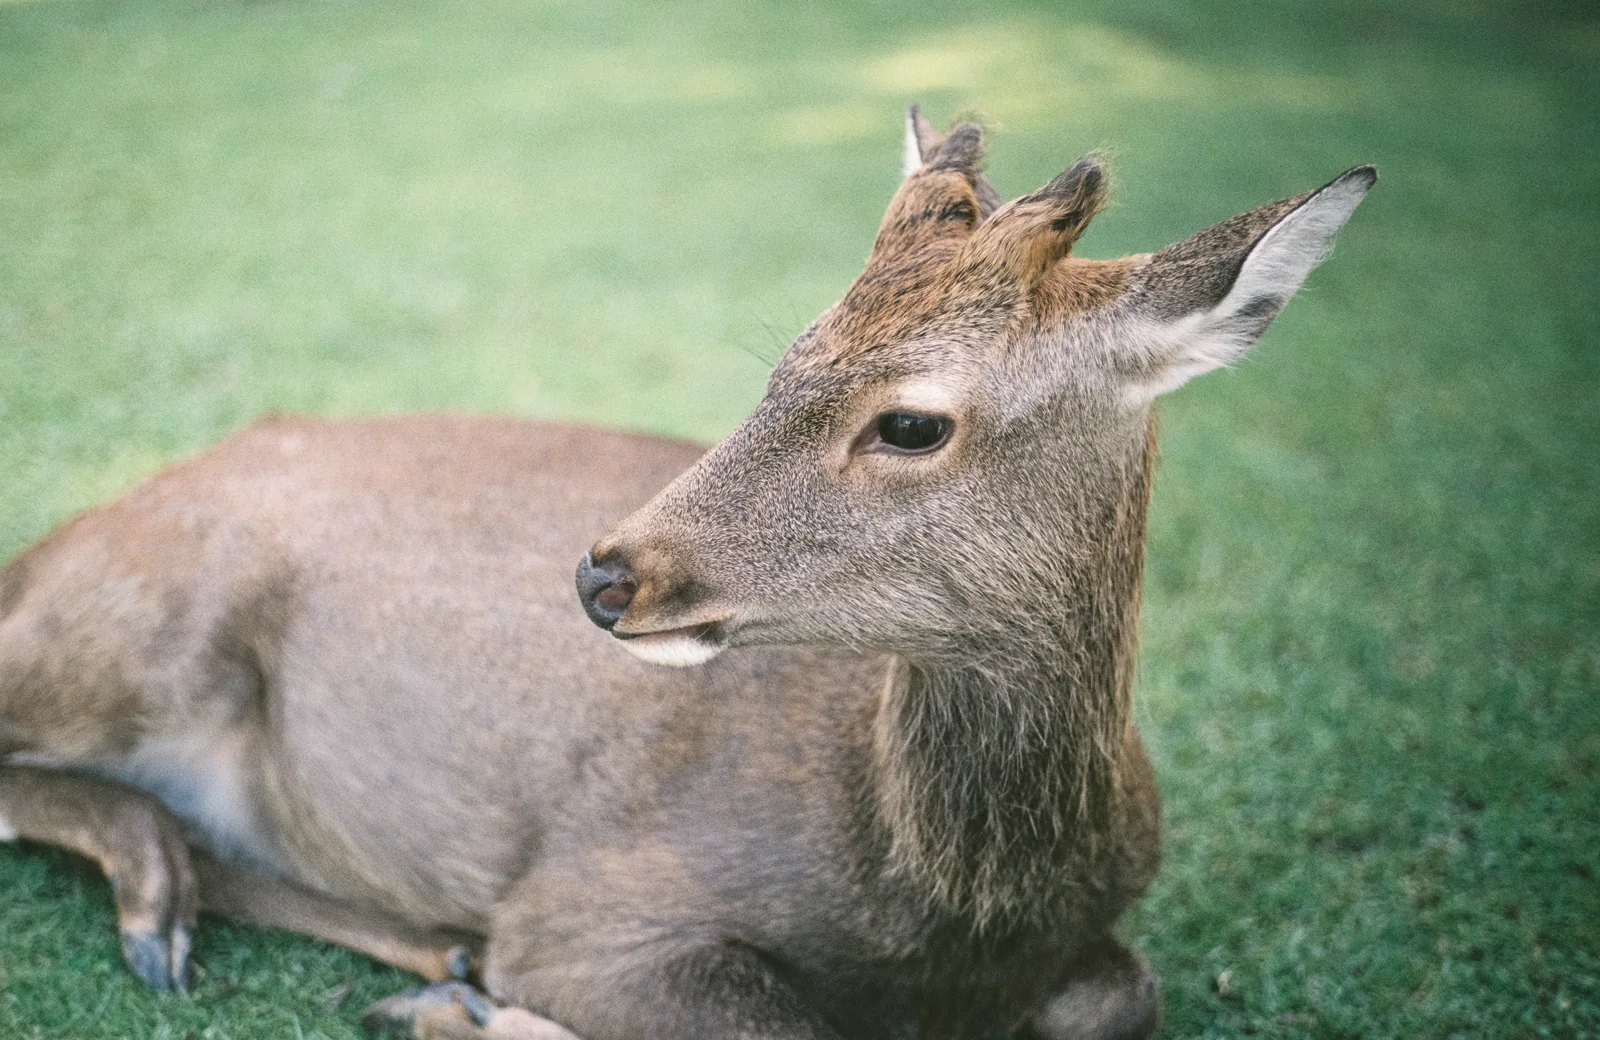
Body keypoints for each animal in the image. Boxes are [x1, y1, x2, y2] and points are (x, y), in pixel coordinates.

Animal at [0, 108, 1373, 1039]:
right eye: (787, 356)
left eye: (910, 421)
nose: (605, 573)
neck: (942, 921)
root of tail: (47, 546)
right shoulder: (593, 899)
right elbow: (775, 1017)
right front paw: (485, 1011)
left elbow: (1127, 992)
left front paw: (459, 995)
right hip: (138, 628)